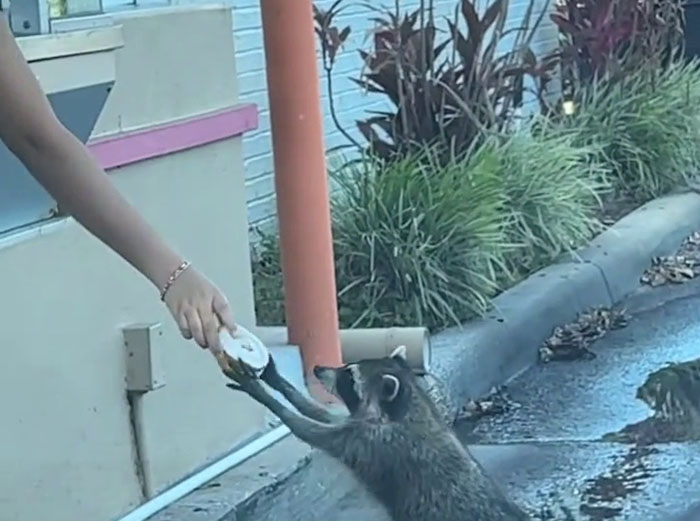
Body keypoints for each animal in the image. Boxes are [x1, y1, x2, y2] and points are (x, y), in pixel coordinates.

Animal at [224, 346, 532, 520]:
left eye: (349, 376)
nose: (318, 368)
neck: (406, 408)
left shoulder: (374, 443)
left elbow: (312, 431)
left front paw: (266, 396)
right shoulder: (362, 426)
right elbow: (325, 415)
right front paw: (277, 380)